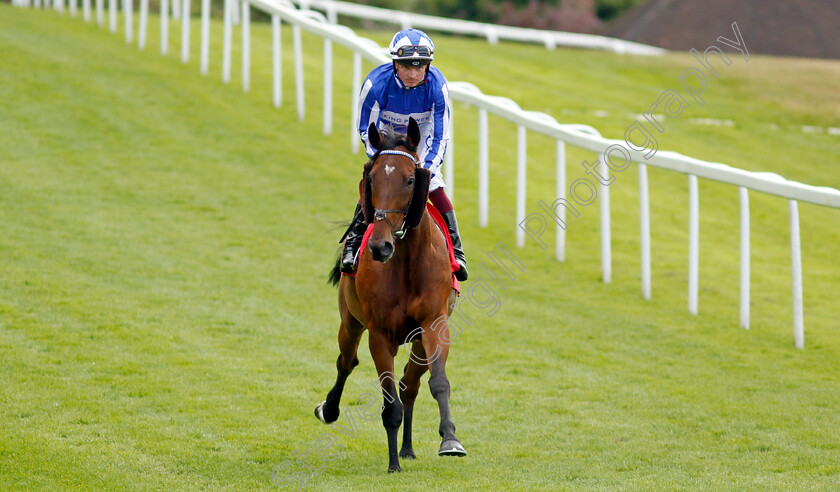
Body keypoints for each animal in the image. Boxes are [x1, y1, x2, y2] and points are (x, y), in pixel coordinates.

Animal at [318, 118, 466, 472]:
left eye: (411, 179)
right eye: (371, 179)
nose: (379, 246)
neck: (406, 261)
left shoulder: (434, 324)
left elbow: (437, 383)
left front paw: (449, 439)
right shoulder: (380, 334)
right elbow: (389, 404)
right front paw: (392, 465)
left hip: (416, 339)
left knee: (410, 385)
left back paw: (408, 448)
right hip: (350, 321)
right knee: (346, 361)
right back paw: (330, 409)